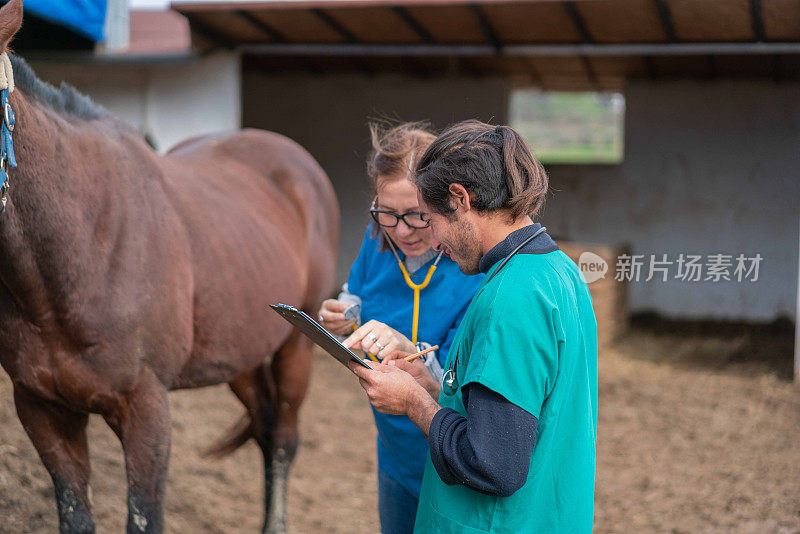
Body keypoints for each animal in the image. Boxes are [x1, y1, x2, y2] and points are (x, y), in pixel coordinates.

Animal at [0, 2, 340, 532]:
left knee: (284, 439)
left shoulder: (147, 407)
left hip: (296, 346)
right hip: (239, 350)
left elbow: (144, 516)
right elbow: (75, 514)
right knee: (265, 427)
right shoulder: (41, 408)